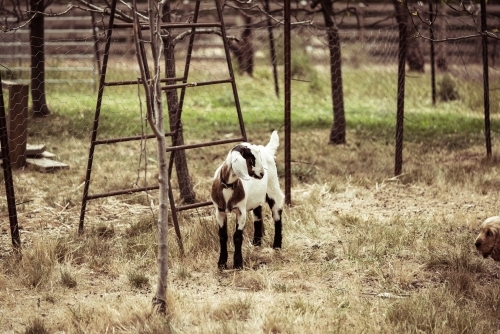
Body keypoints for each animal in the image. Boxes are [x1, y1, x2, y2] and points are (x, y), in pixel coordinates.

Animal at [209, 130, 284, 268]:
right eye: (250, 158)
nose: (262, 174)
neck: (229, 185)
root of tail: (266, 149)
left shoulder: (241, 211)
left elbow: (237, 237)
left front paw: (238, 263)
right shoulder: (219, 211)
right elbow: (222, 236)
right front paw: (222, 263)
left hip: (273, 189)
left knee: (277, 215)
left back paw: (276, 246)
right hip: (256, 197)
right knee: (258, 214)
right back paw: (257, 243)